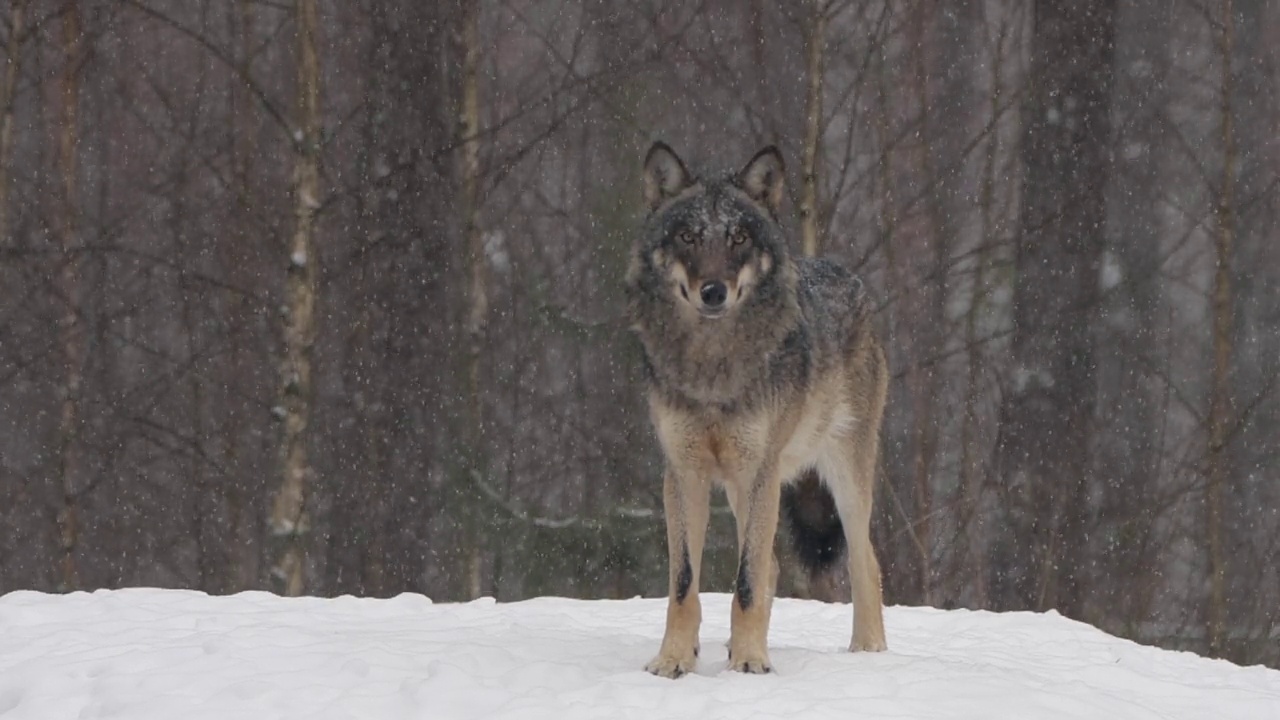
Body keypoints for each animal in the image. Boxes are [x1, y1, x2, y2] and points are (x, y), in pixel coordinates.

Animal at [627, 141, 890, 676]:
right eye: (688, 236)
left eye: (739, 237)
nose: (713, 291)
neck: (713, 367)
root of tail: (848, 277)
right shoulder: (683, 473)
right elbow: (684, 584)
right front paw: (675, 660)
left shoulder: (760, 470)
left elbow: (745, 583)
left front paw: (749, 664)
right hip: (740, 486)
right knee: (772, 563)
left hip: (840, 476)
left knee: (864, 562)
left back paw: (868, 652)